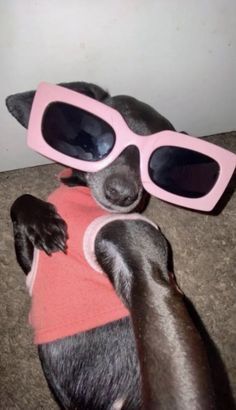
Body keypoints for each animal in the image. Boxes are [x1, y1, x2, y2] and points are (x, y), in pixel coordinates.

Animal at [6, 81, 216, 408]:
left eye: (155, 164)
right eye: (103, 138)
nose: (121, 193)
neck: (82, 196)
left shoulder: (147, 275)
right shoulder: (31, 264)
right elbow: (20, 201)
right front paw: (44, 222)